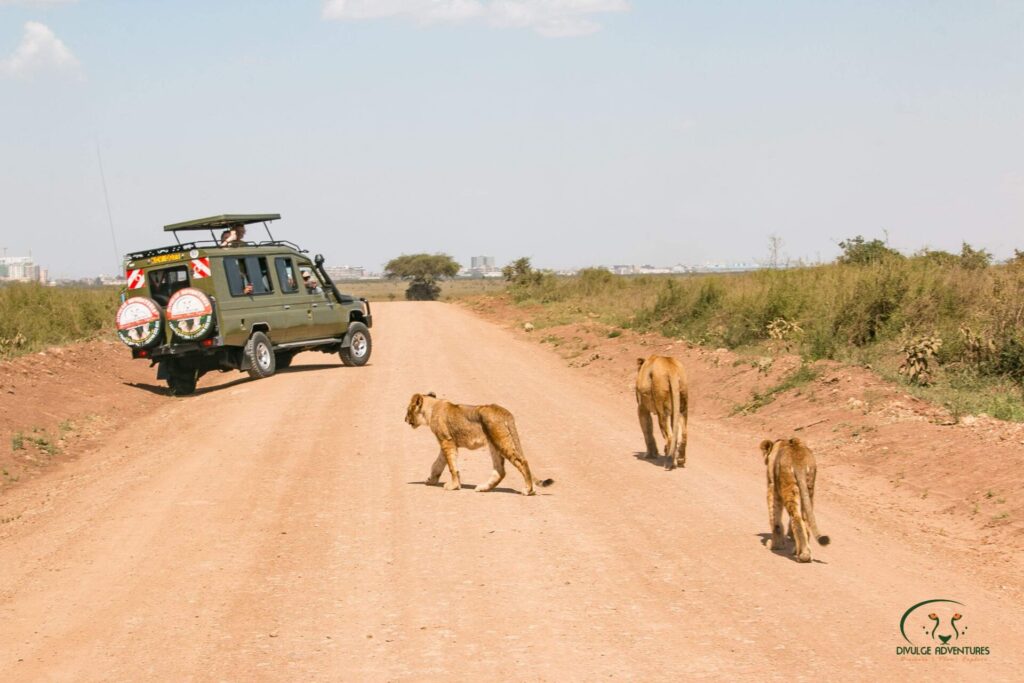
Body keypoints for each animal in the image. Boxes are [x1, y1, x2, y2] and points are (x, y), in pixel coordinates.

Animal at [403, 395, 557, 497]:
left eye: (408, 409)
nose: (404, 419)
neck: (431, 408)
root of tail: (505, 413)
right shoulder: (446, 443)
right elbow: (438, 464)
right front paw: (431, 480)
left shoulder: (447, 441)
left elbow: (451, 466)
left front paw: (453, 486)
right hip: (494, 444)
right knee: (500, 470)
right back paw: (483, 488)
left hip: (501, 441)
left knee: (522, 462)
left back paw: (529, 490)